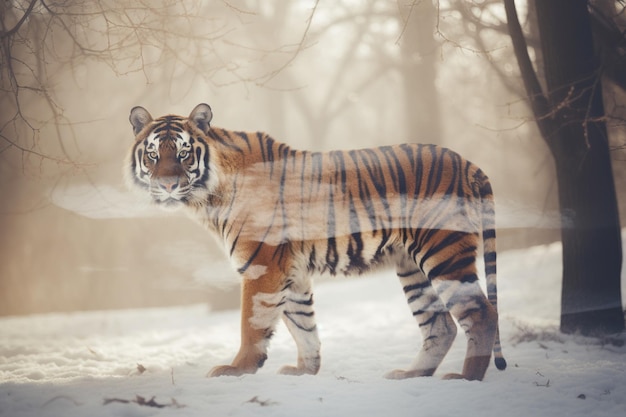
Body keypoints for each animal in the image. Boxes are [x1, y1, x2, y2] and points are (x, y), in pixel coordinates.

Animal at [127, 102, 508, 378]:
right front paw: (304, 372)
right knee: (441, 326)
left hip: (443, 252)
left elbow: (252, 325)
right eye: (153, 154)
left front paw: (236, 370)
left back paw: (465, 379)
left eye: (183, 153)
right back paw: (410, 375)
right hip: (411, 266)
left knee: (481, 314)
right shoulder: (290, 270)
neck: (209, 199)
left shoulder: (261, 266)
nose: (167, 185)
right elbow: (302, 324)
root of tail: (468, 163)